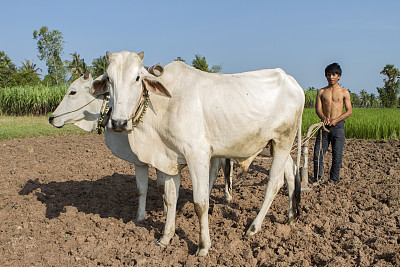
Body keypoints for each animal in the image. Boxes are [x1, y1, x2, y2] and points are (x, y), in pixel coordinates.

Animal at [48, 72, 233, 223]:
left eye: (73, 92)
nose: (51, 118)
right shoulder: (150, 160)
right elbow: (152, 188)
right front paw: (155, 214)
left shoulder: (152, 157)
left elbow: (153, 188)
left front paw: (152, 215)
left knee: (221, 168)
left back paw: (226, 196)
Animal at [90, 51, 304, 256]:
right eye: (109, 78)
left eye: (137, 78)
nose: (118, 123)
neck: (165, 106)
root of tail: (292, 82)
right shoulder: (169, 160)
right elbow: (170, 198)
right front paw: (166, 237)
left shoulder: (197, 156)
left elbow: (200, 203)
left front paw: (203, 246)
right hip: (275, 145)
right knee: (289, 174)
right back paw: (291, 216)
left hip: (284, 141)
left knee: (274, 182)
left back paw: (253, 228)